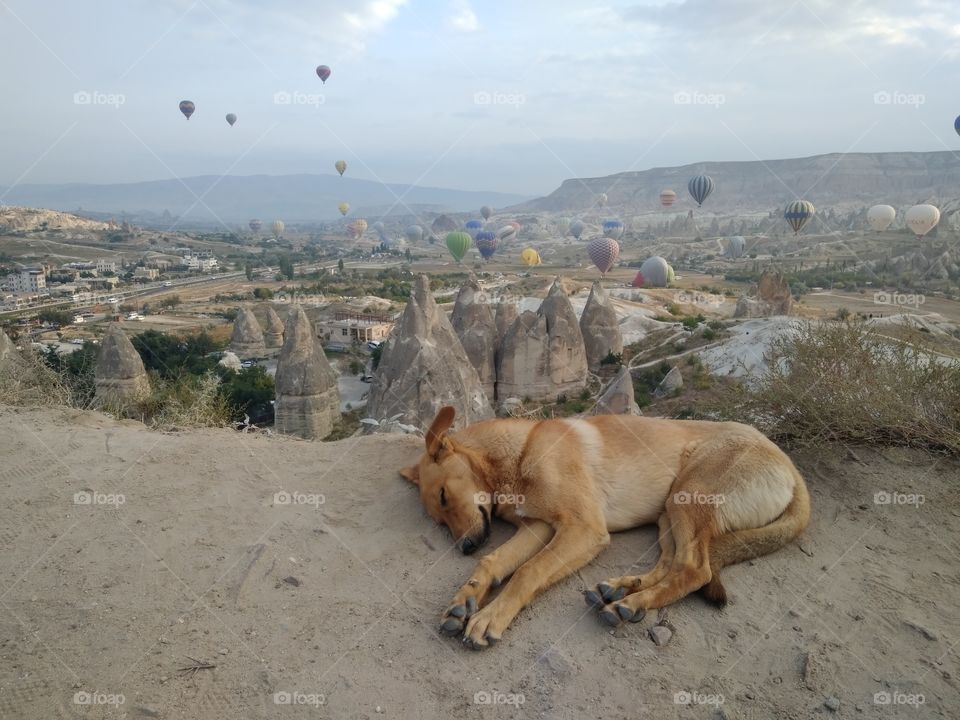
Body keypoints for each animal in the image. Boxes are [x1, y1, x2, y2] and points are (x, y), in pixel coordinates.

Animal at [400, 408, 808, 648]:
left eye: (443, 496)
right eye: (438, 519)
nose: (466, 546)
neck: (520, 451)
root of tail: (790, 467)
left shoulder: (583, 529)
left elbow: (528, 571)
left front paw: (488, 617)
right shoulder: (538, 527)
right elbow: (494, 562)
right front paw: (464, 600)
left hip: (689, 495)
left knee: (696, 568)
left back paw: (630, 603)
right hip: (668, 513)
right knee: (672, 563)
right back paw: (621, 590)